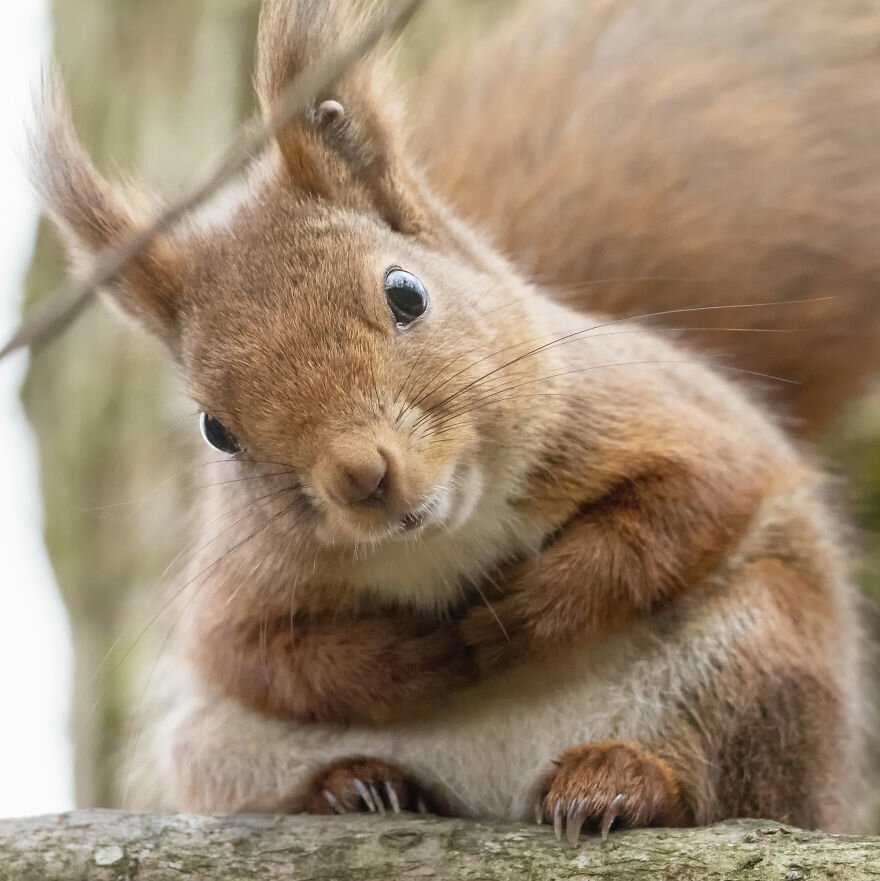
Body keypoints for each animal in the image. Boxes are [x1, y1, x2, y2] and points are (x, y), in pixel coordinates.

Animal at [35, 0, 874, 838]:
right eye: (216, 429)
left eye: (405, 293)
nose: (359, 474)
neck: (443, 535)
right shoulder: (239, 585)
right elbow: (257, 653)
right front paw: (414, 658)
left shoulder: (663, 416)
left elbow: (684, 506)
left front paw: (523, 610)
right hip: (221, 744)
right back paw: (353, 786)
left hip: (757, 650)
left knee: (724, 786)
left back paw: (622, 782)